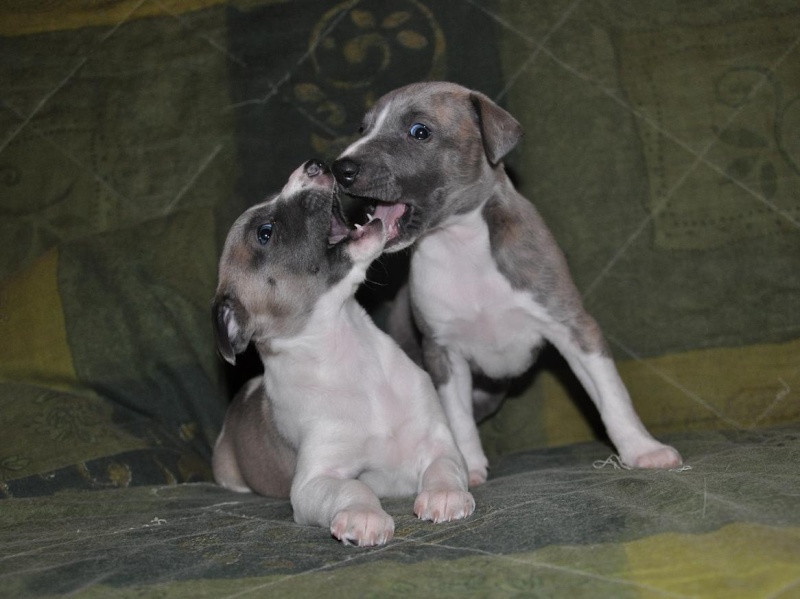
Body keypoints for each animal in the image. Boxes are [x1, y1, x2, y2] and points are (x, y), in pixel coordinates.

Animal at [212, 159, 476, 548]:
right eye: (265, 232)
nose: (314, 165)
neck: (351, 355)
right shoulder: (314, 481)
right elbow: (352, 488)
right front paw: (363, 516)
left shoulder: (438, 442)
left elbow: (445, 467)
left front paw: (445, 495)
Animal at [332, 83, 680, 488]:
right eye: (363, 129)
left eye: (419, 131)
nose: (340, 168)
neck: (460, 244)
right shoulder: (443, 352)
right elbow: (458, 419)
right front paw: (467, 467)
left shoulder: (573, 326)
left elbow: (611, 394)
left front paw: (642, 449)